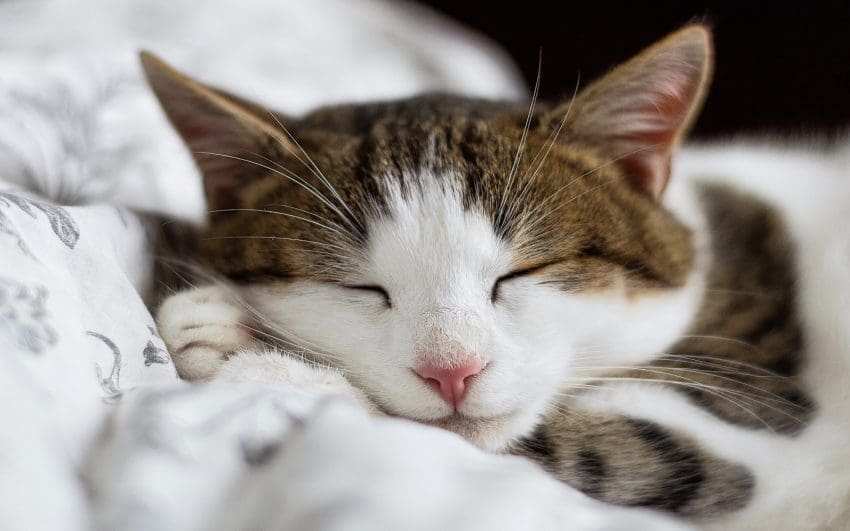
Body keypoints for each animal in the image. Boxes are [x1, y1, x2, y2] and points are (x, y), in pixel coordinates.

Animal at [144, 26, 848, 531]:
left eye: (523, 272)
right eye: (357, 286)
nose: (452, 371)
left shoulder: (772, 435)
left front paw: (267, 361)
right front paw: (227, 325)